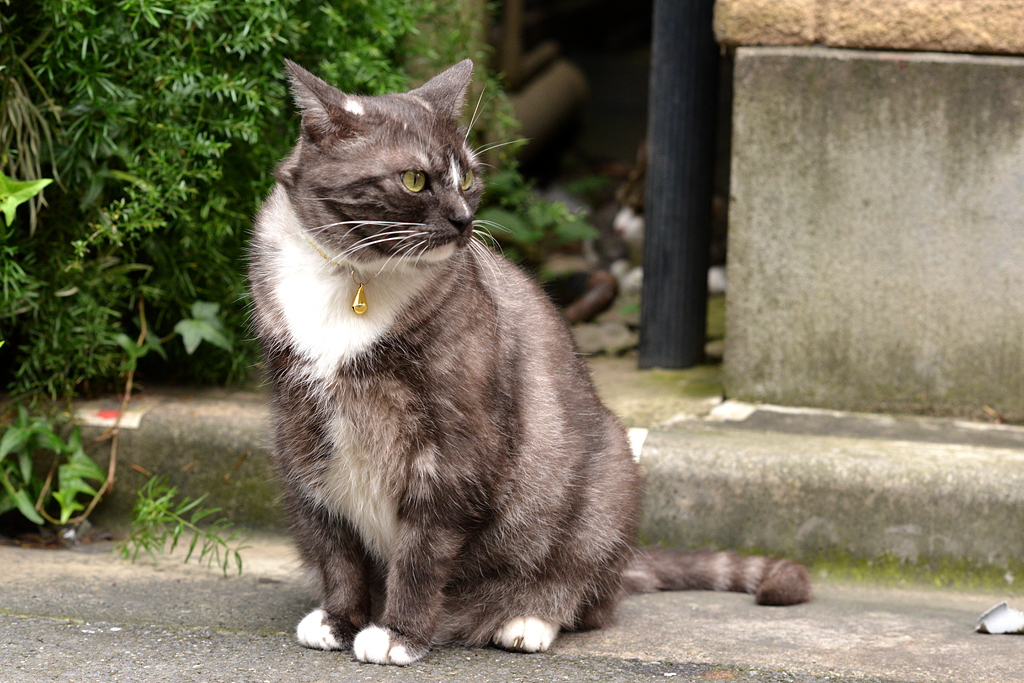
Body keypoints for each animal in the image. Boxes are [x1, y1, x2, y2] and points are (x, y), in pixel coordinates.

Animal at [247, 58, 806, 667]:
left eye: (467, 177)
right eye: (415, 180)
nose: (464, 220)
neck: (354, 279)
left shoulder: (454, 449)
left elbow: (421, 551)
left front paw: (398, 633)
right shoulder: (304, 435)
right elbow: (336, 543)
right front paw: (341, 620)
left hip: (605, 481)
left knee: (585, 595)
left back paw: (525, 621)